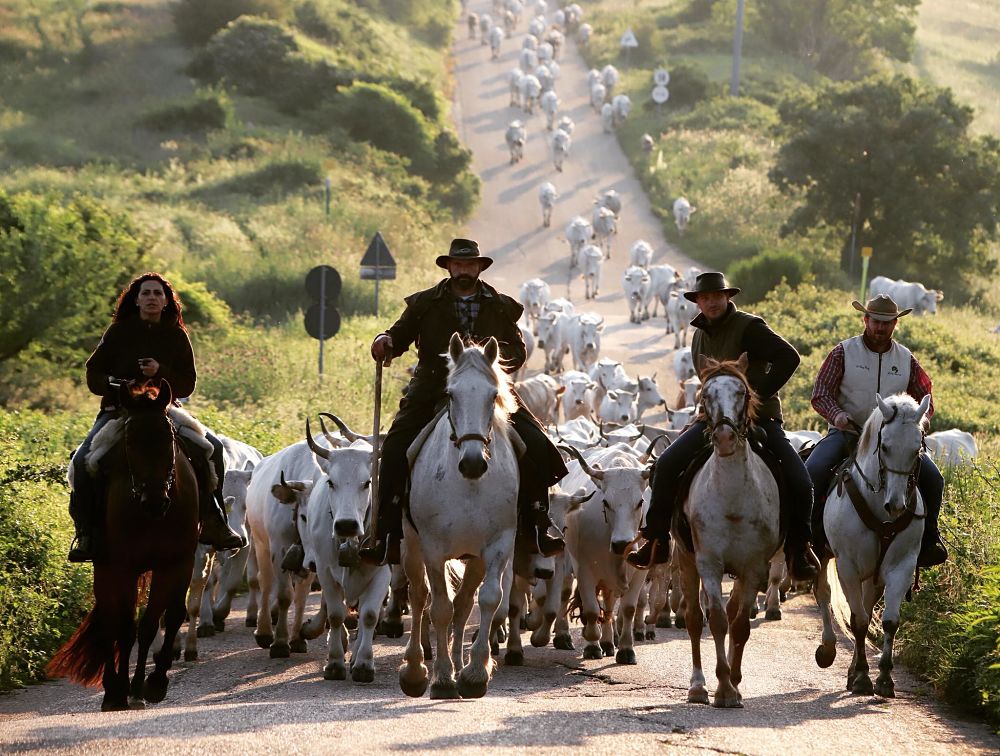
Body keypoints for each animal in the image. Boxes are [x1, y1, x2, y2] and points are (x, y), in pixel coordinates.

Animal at [47, 380, 200, 712]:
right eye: (130, 443)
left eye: (169, 438)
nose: (155, 502)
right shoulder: (123, 567)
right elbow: (126, 628)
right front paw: (121, 691)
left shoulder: (175, 563)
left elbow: (156, 622)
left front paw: (150, 685)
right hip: (106, 570)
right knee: (109, 622)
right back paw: (112, 690)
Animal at [398, 334, 524, 700]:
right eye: (451, 394)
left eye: (493, 395)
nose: (473, 462)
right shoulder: (433, 548)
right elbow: (438, 607)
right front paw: (440, 678)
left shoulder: (496, 546)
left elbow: (488, 600)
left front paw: (474, 674)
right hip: (411, 547)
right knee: (419, 595)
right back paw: (416, 669)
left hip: (474, 558)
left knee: (465, 604)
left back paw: (457, 664)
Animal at [676, 356, 784, 708]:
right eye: (705, 395)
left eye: (743, 392)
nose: (724, 439)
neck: (733, 497)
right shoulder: (709, 562)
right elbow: (718, 621)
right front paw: (721, 687)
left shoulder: (753, 567)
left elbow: (739, 626)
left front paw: (732, 685)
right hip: (685, 558)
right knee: (694, 619)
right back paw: (698, 686)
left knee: (736, 611)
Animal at [812, 396, 928, 696]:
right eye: (884, 446)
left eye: (917, 449)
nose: (897, 505)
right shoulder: (847, 567)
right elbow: (860, 621)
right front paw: (864, 676)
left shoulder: (901, 567)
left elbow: (889, 621)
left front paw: (884, 678)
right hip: (823, 556)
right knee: (824, 594)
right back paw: (828, 649)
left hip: (874, 575)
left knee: (864, 603)